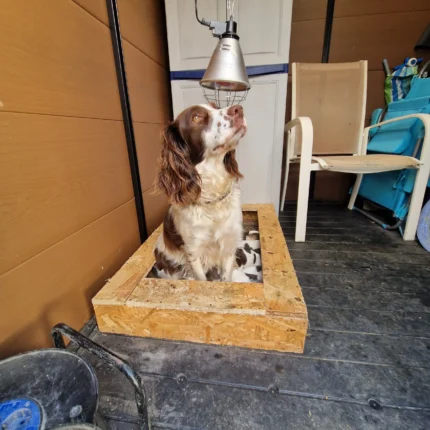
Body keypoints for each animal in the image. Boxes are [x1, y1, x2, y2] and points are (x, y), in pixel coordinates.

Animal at [154, 103, 247, 282]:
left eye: (216, 107)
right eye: (196, 117)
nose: (238, 109)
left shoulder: (229, 242)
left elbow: (227, 278)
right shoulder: (194, 251)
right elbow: (202, 280)